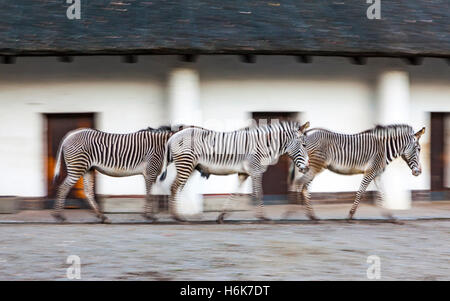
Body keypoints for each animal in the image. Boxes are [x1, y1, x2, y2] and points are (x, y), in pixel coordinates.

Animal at [157, 120, 310, 221]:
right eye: (304, 145)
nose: (307, 168)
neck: (263, 146)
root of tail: (173, 136)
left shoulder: (244, 173)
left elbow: (234, 193)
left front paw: (222, 215)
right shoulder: (255, 171)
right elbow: (259, 193)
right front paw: (263, 217)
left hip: (190, 166)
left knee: (176, 187)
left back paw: (177, 215)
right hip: (186, 164)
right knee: (174, 187)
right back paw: (177, 216)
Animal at [284, 123, 426, 219]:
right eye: (418, 149)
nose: (419, 172)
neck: (384, 150)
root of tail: (305, 135)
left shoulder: (377, 174)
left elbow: (382, 193)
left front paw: (389, 216)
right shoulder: (370, 172)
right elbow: (360, 192)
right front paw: (351, 214)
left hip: (310, 167)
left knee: (303, 186)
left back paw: (310, 215)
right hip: (315, 166)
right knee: (301, 184)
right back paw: (293, 213)